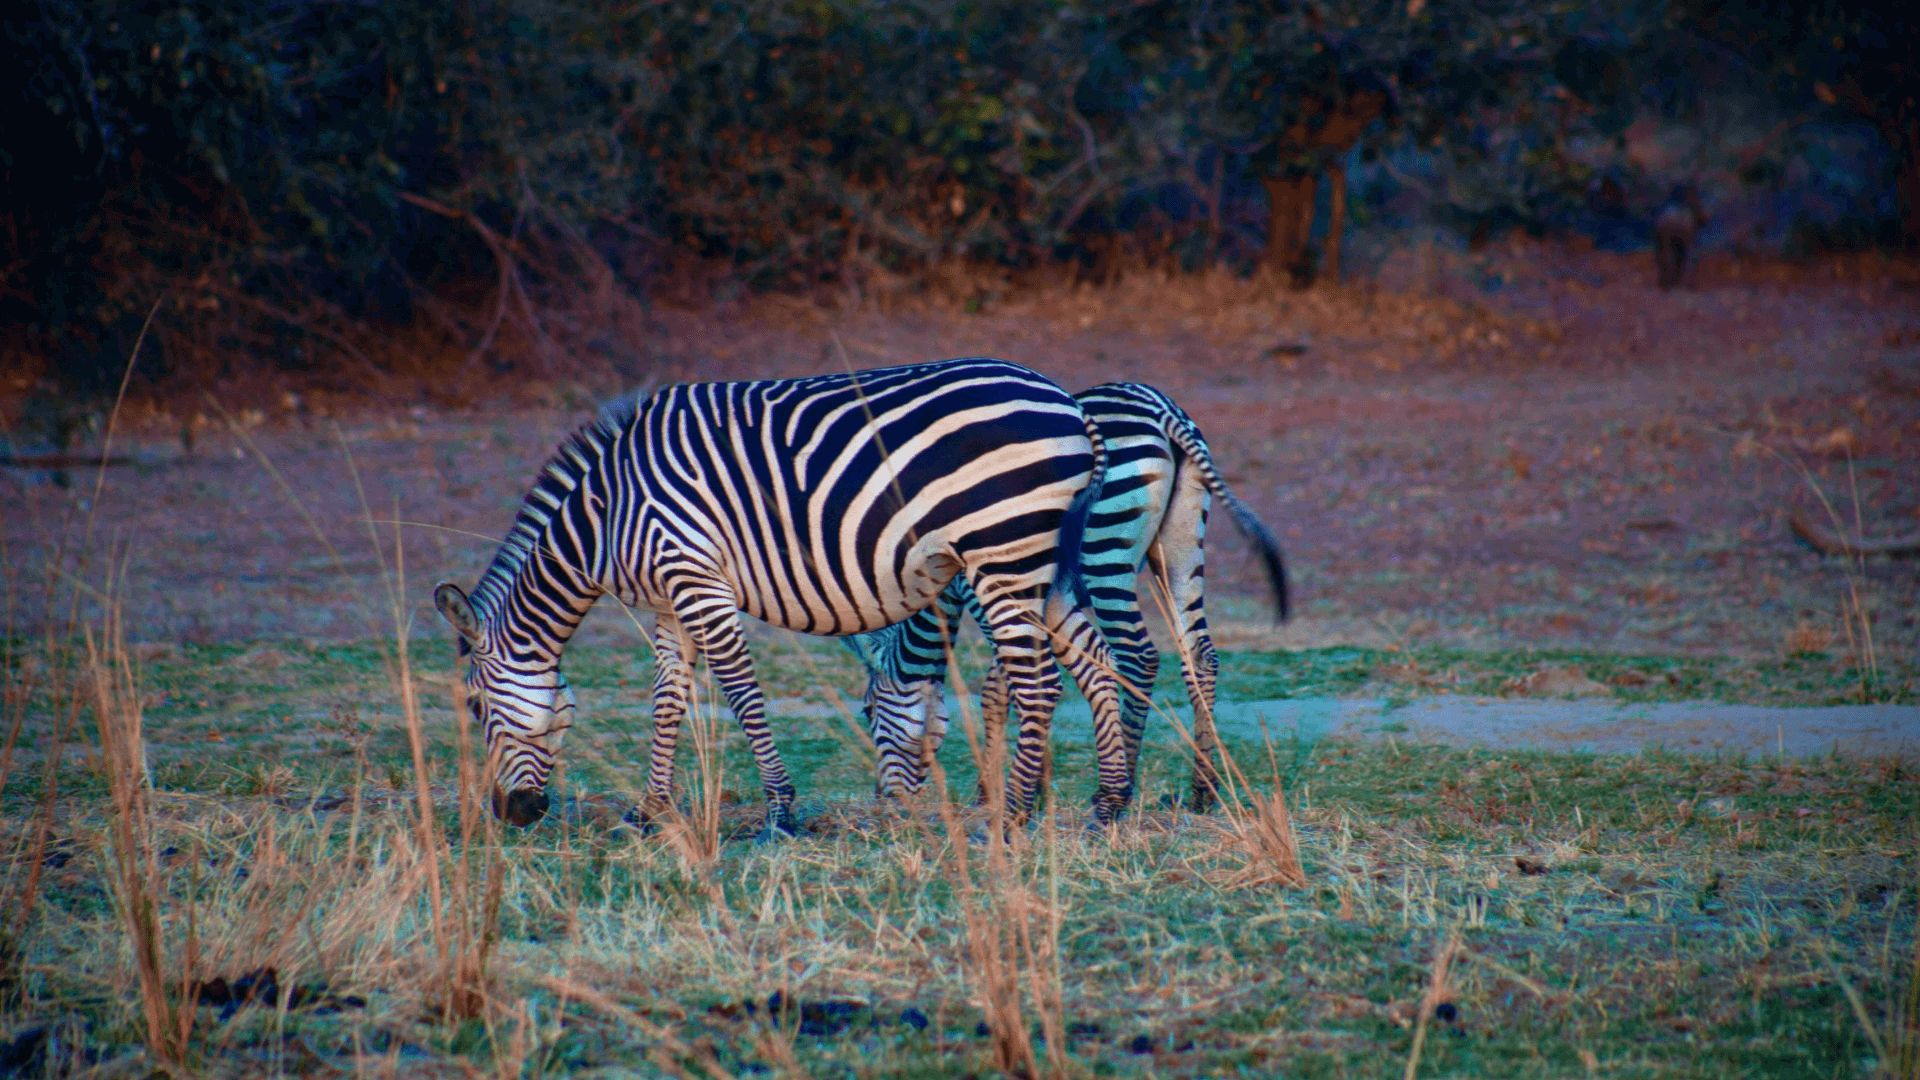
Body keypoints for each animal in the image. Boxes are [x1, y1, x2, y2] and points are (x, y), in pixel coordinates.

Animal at [428, 353, 1128, 834]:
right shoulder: (668, 602)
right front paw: (648, 812)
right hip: (1046, 562)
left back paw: (1010, 819)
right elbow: (666, 701)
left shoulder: (695, 578)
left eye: (475, 707)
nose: (511, 813)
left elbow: (741, 694)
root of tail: (1071, 408)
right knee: (1097, 664)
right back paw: (1109, 804)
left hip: (1002, 554)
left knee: (1039, 682)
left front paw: (780, 813)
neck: (608, 513)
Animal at [844, 378, 1282, 807]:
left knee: (1138, 657)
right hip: (1181, 543)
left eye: (867, 711)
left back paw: (1121, 787)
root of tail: (1161, 408)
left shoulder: (987, 588)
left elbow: (998, 689)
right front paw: (1034, 788)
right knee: (1200, 654)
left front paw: (991, 794)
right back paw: (1202, 789)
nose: (883, 800)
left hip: (1103, 549)